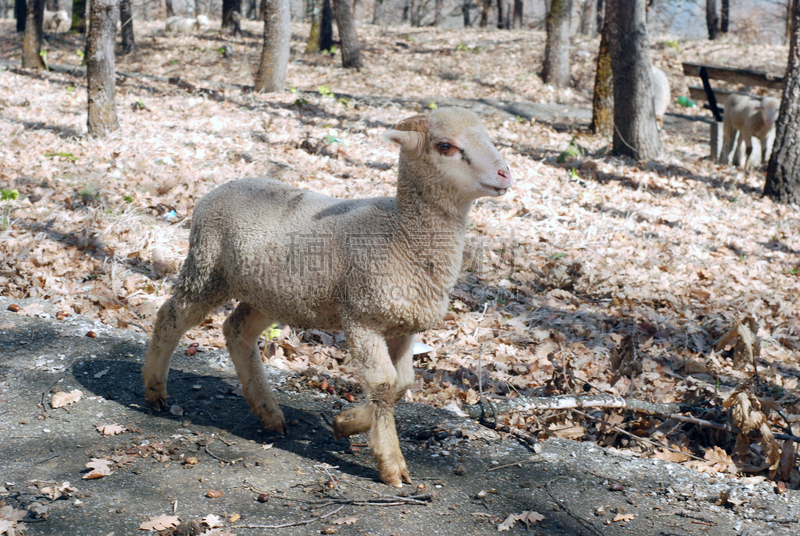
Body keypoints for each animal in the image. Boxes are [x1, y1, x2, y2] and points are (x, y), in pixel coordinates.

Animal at [143, 107, 512, 488]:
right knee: (171, 318)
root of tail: (218, 189)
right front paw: (391, 464)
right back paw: (155, 390)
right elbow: (384, 385)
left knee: (237, 330)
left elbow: (402, 384)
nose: (505, 174)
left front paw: (345, 423)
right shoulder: (362, 317)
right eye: (445, 146)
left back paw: (269, 413)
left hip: (271, 292)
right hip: (208, 269)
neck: (401, 233)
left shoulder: (403, 325)